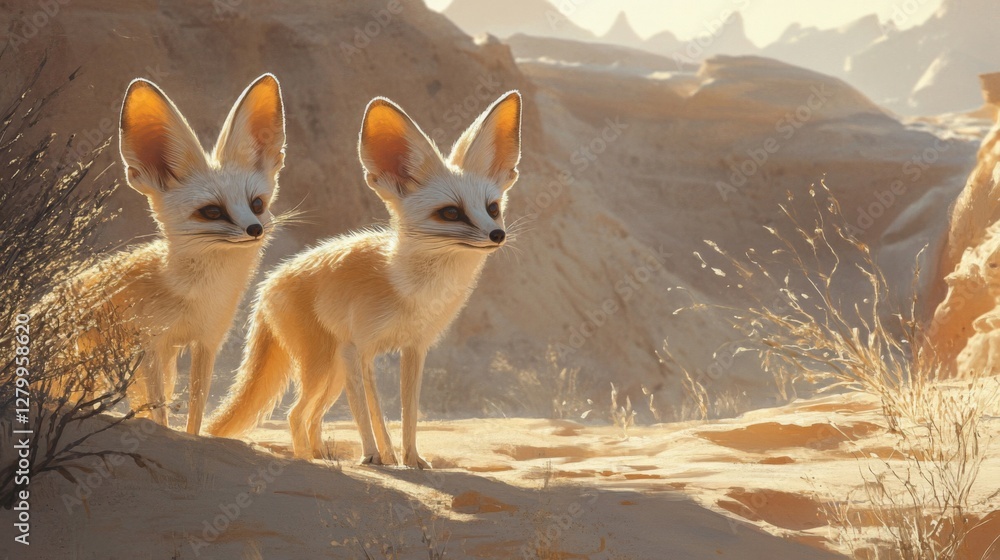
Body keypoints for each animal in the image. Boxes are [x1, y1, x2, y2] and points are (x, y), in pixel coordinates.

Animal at [57, 74, 287, 435]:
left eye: (257, 204)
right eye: (212, 212)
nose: (255, 230)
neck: (194, 295)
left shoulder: (207, 342)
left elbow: (196, 409)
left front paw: (192, 439)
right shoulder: (151, 347)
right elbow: (159, 411)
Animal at [207, 90, 522, 468]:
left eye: (492, 208)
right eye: (451, 213)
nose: (497, 235)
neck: (409, 290)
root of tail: (268, 281)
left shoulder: (414, 349)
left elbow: (409, 412)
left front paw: (412, 459)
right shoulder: (360, 348)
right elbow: (372, 412)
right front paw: (377, 456)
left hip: (333, 373)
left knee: (311, 416)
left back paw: (321, 454)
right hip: (325, 366)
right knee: (296, 414)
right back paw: (307, 459)